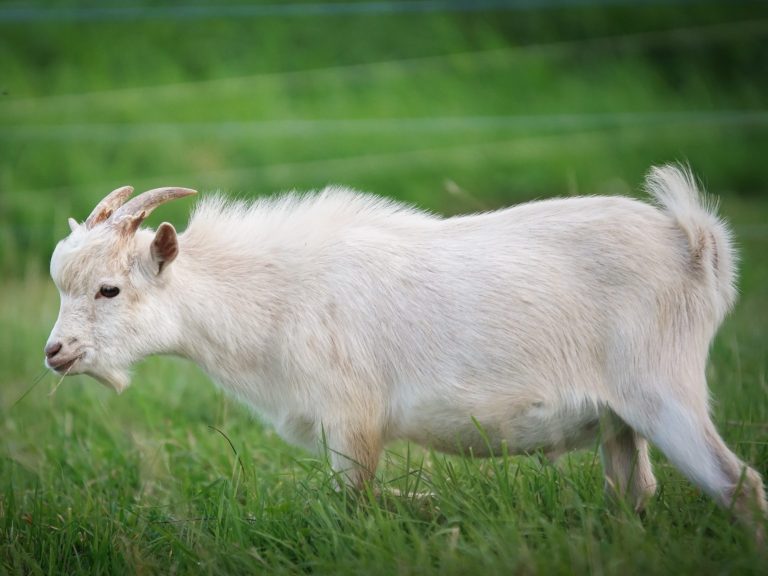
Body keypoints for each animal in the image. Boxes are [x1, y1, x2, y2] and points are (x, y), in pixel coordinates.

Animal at [44, 166, 766, 539]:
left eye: (109, 288)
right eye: (63, 284)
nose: (55, 353)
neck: (277, 293)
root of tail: (694, 243)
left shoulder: (351, 421)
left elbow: (357, 503)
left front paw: (426, 512)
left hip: (662, 392)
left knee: (738, 485)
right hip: (622, 420)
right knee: (634, 489)